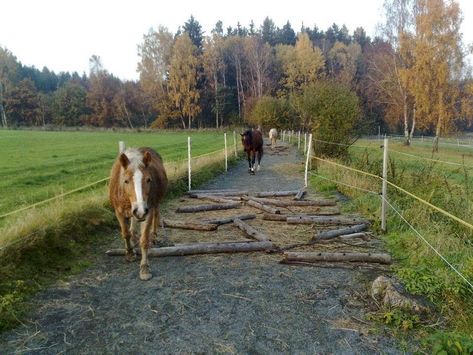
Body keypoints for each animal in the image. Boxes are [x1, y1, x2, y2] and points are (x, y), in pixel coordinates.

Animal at [109, 147, 169, 280]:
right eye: (126, 181)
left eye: (148, 180)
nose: (140, 211)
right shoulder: (119, 212)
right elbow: (125, 233)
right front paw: (130, 253)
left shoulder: (148, 211)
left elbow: (144, 240)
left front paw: (144, 268)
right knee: (133, 222)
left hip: (155, 204)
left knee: (156, 216)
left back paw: (154, 236)